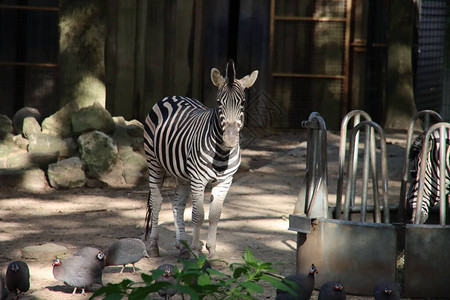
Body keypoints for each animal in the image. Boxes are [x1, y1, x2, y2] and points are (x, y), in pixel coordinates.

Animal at [142, 59, 258, 258]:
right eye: (219, 102)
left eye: (242, 103)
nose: (230, 139)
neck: (221, 153)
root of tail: (172, 96)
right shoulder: (198, 180)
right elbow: (198, 215)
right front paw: (196, 252)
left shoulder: (225, 181)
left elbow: (214, 215)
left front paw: (212, 251)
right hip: (154, 163)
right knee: (156, 202)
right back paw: (154, 246)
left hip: (182, 173)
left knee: (177, 204)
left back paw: (182, 246)